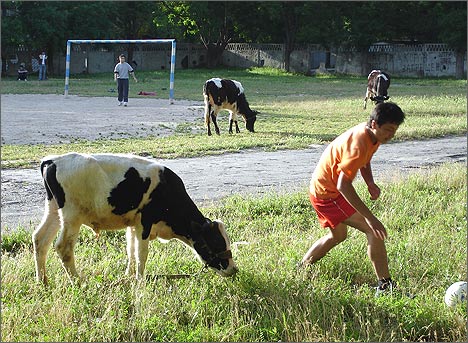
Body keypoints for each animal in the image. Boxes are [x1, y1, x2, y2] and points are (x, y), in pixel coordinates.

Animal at [32, 153, 238, 284]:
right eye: (216, 243)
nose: (233, 269)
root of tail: (52, 160)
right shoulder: (145, 222)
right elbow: (142, 254)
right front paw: (140, 281)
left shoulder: (133, 223)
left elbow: (131, 250)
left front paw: (129, 276)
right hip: (72, 216)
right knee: (63, 247)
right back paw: (78, 281)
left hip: (53, 211)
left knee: (40, 239)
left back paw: (42, 281)